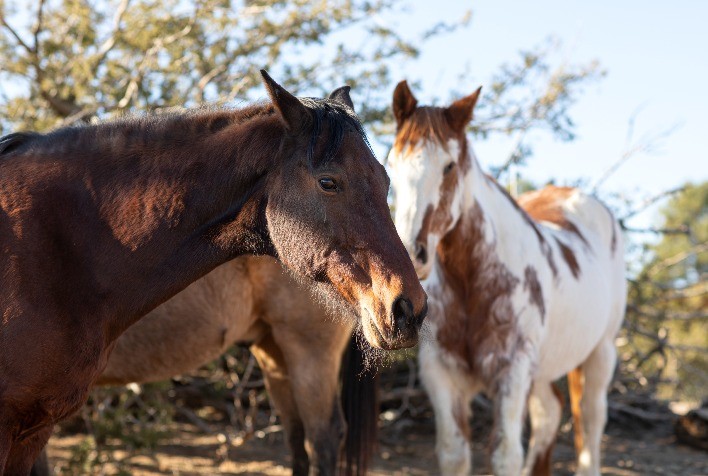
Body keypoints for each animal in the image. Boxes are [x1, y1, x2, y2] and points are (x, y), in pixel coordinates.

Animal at [387, 81, 626, 476]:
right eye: (391, 165)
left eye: (449, 166)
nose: (411, 253)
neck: (473, 283)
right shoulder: (442, 376)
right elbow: (454, 454)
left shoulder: (511, 375)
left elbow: (504, 455)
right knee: (550, 413)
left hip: (599, 354)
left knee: (590, 426)